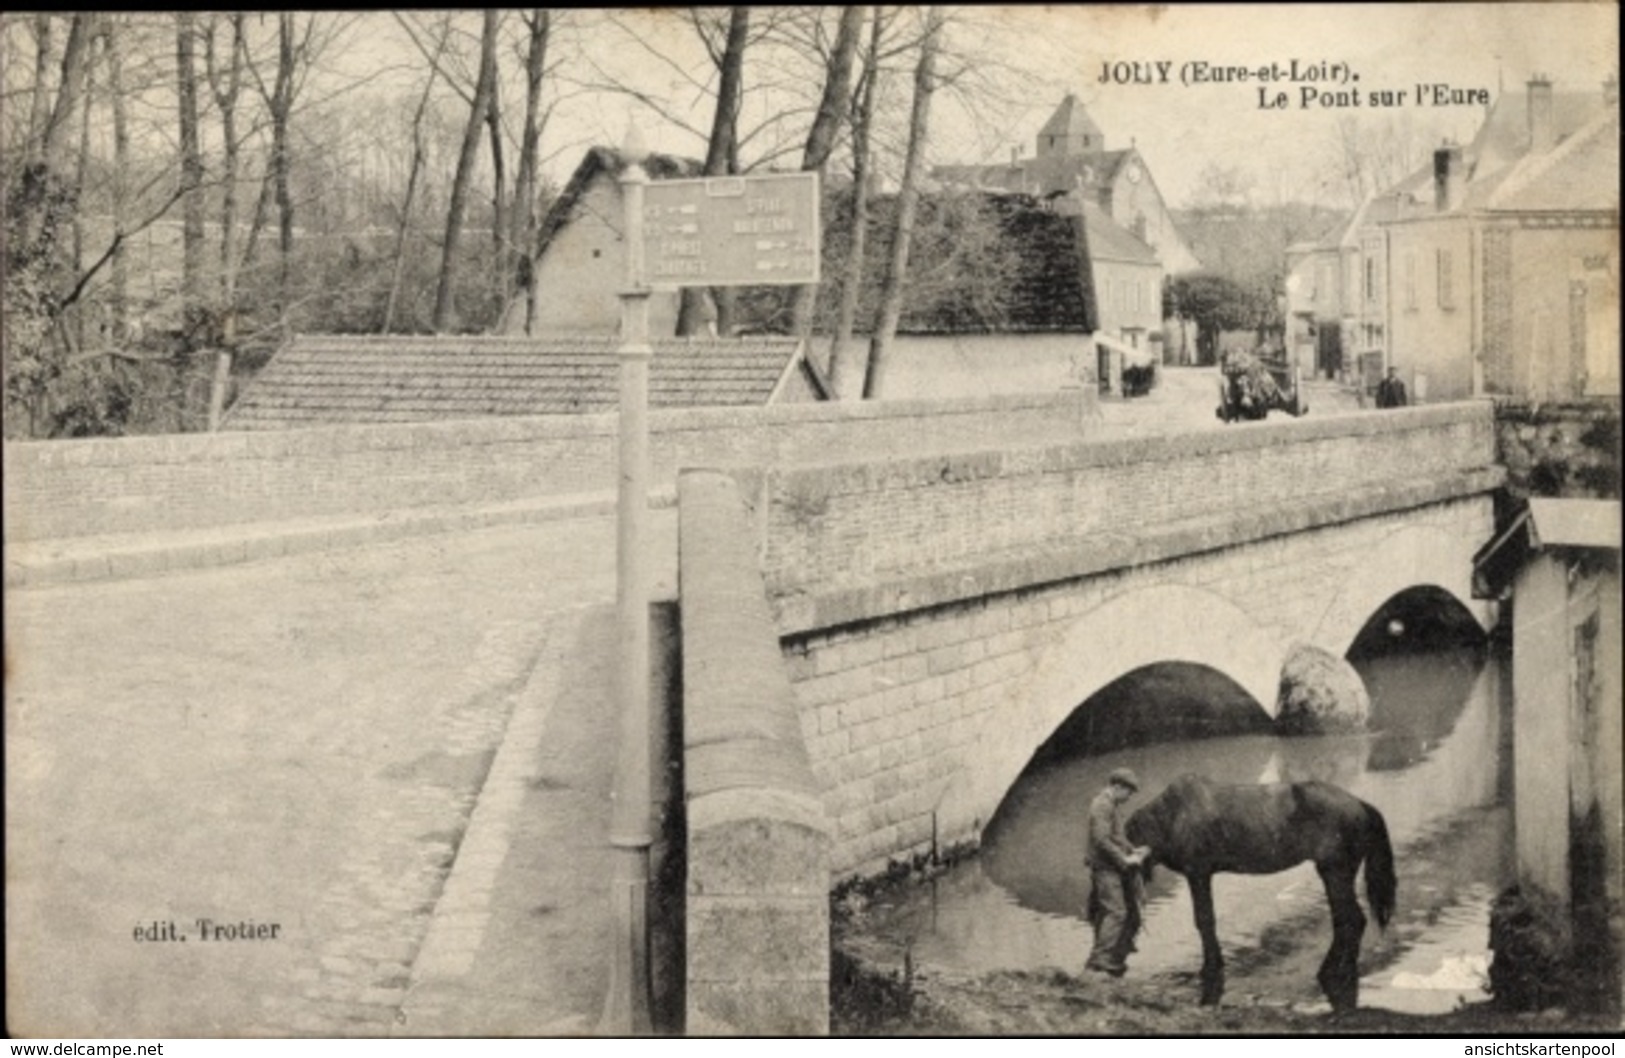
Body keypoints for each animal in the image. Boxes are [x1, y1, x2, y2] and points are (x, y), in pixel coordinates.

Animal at [1131, 773, 1397, 1014]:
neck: (1172, 814)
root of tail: (1359, 804)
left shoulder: (1198, 874)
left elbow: (1204, 920)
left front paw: (1210, 967)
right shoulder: (1200, 875)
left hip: (1335, 873)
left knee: (1351, 919)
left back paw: (1335, 970)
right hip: (1333, 875)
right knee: (1346, 920)